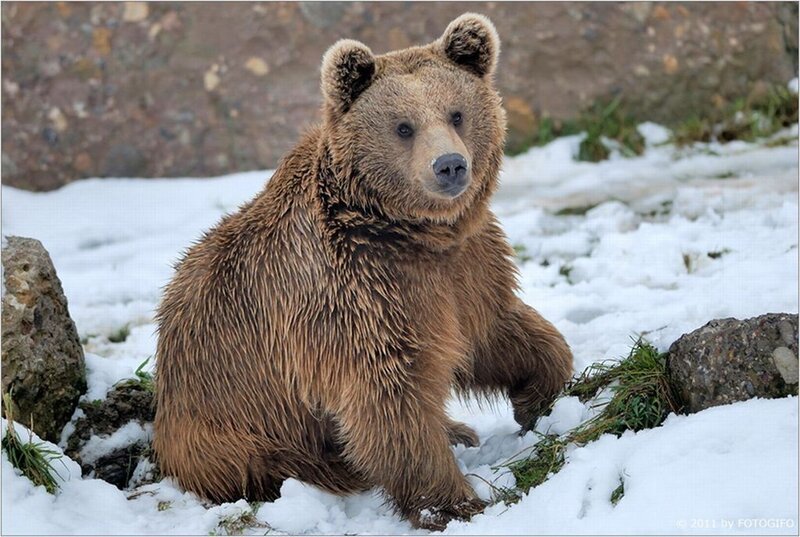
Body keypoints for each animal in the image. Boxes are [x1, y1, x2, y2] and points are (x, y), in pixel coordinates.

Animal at [153, 13, 573, 530]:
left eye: (456, 113)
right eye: (403, 126)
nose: (450, 165)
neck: (410, 232)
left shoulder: (464, 268)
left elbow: (493, 332)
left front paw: (537, 393)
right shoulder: (354, 293)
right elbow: (390, 395)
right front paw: (453, 503)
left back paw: (457, 429)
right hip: (230, 419)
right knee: (270, 460)